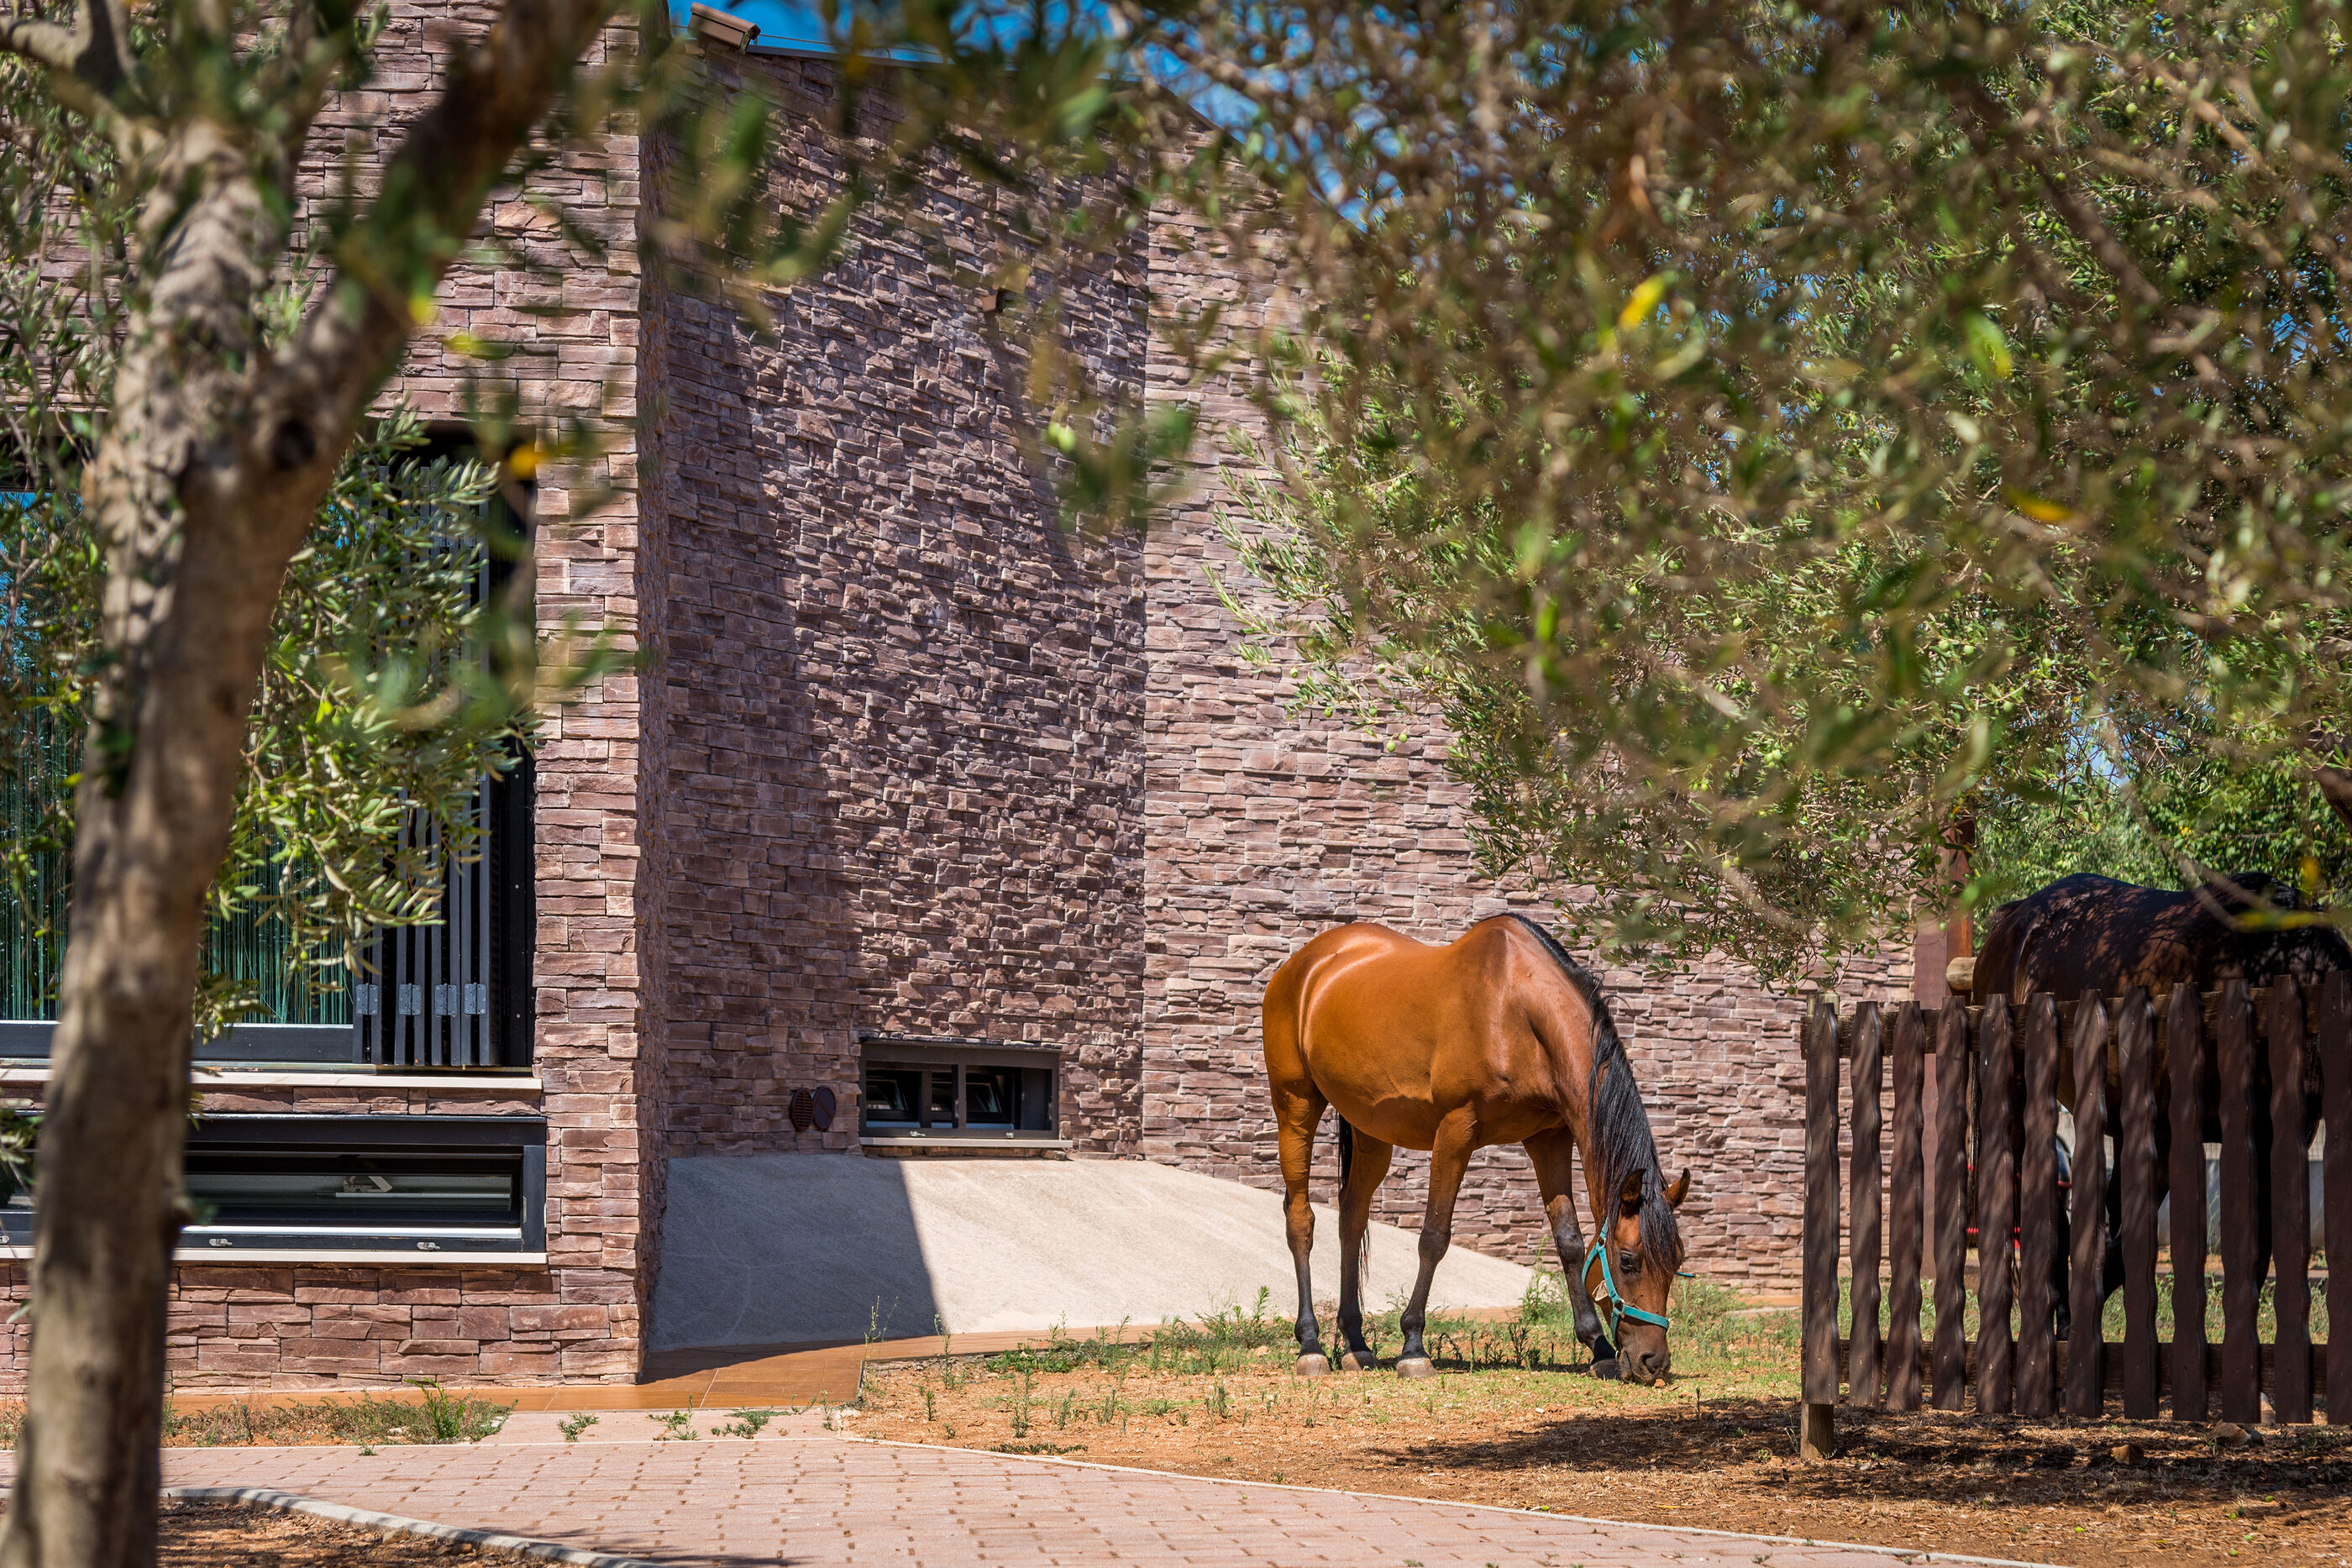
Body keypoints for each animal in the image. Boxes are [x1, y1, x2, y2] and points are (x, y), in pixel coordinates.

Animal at [1260, 913, 1690, 1385]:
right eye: (1628, 1261)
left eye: (1675, 1262)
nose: (1653, 1362)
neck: (1515, 1006)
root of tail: (1303, 966)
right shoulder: (1456, 1129)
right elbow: (1434, 1236)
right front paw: (1413, 1347)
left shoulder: (1549, 1138)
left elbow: (1570, 1242)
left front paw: (1598, 1348)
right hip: (1295, 1106)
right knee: (1301, 1220)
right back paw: (1311, 1347)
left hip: (1371, 1129)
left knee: (1351, 1218)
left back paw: (1357, 1346)